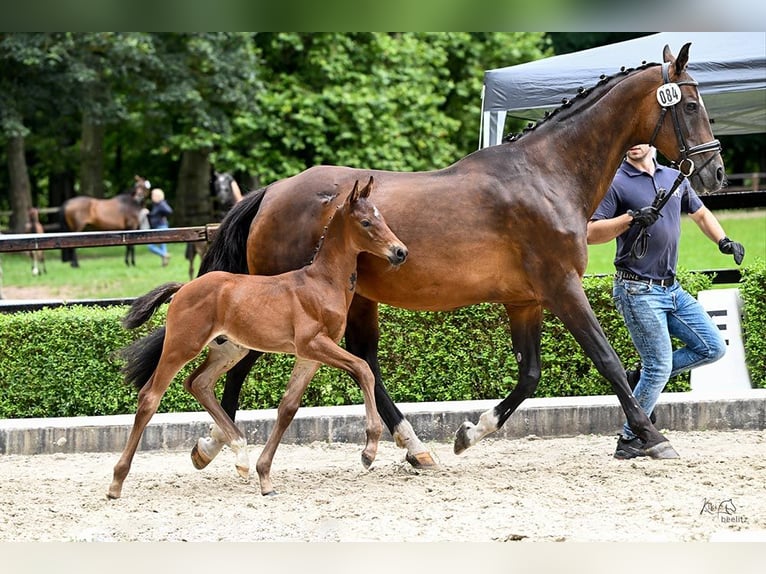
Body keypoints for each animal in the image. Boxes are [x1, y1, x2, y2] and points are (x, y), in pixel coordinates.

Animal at [109, 179, 412, 500]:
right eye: (366, 222)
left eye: (383, 218)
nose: (400, 252)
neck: (322, 282)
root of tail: (184, 287)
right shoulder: (313, 344)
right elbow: (364, 369)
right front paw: (369, 451)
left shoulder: (310, 356)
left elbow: (288, 407)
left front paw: (264, 476)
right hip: (182, 345)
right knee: (150, 397)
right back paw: (116, 482)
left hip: (230, 350)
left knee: (198, 383)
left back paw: (241, 456)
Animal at [132, 42, 728, 470]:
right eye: (691, 103)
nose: (715, 172)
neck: (546, 175)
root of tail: (273, 192)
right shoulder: (562, 286)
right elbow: (609, 362)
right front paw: (653, 436)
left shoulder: (527, 300)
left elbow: (530, 375)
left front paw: (470, 433)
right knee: (249, 361)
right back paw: (218, 445)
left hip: (354, 299)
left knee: (362, 361)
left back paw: (412, 447)